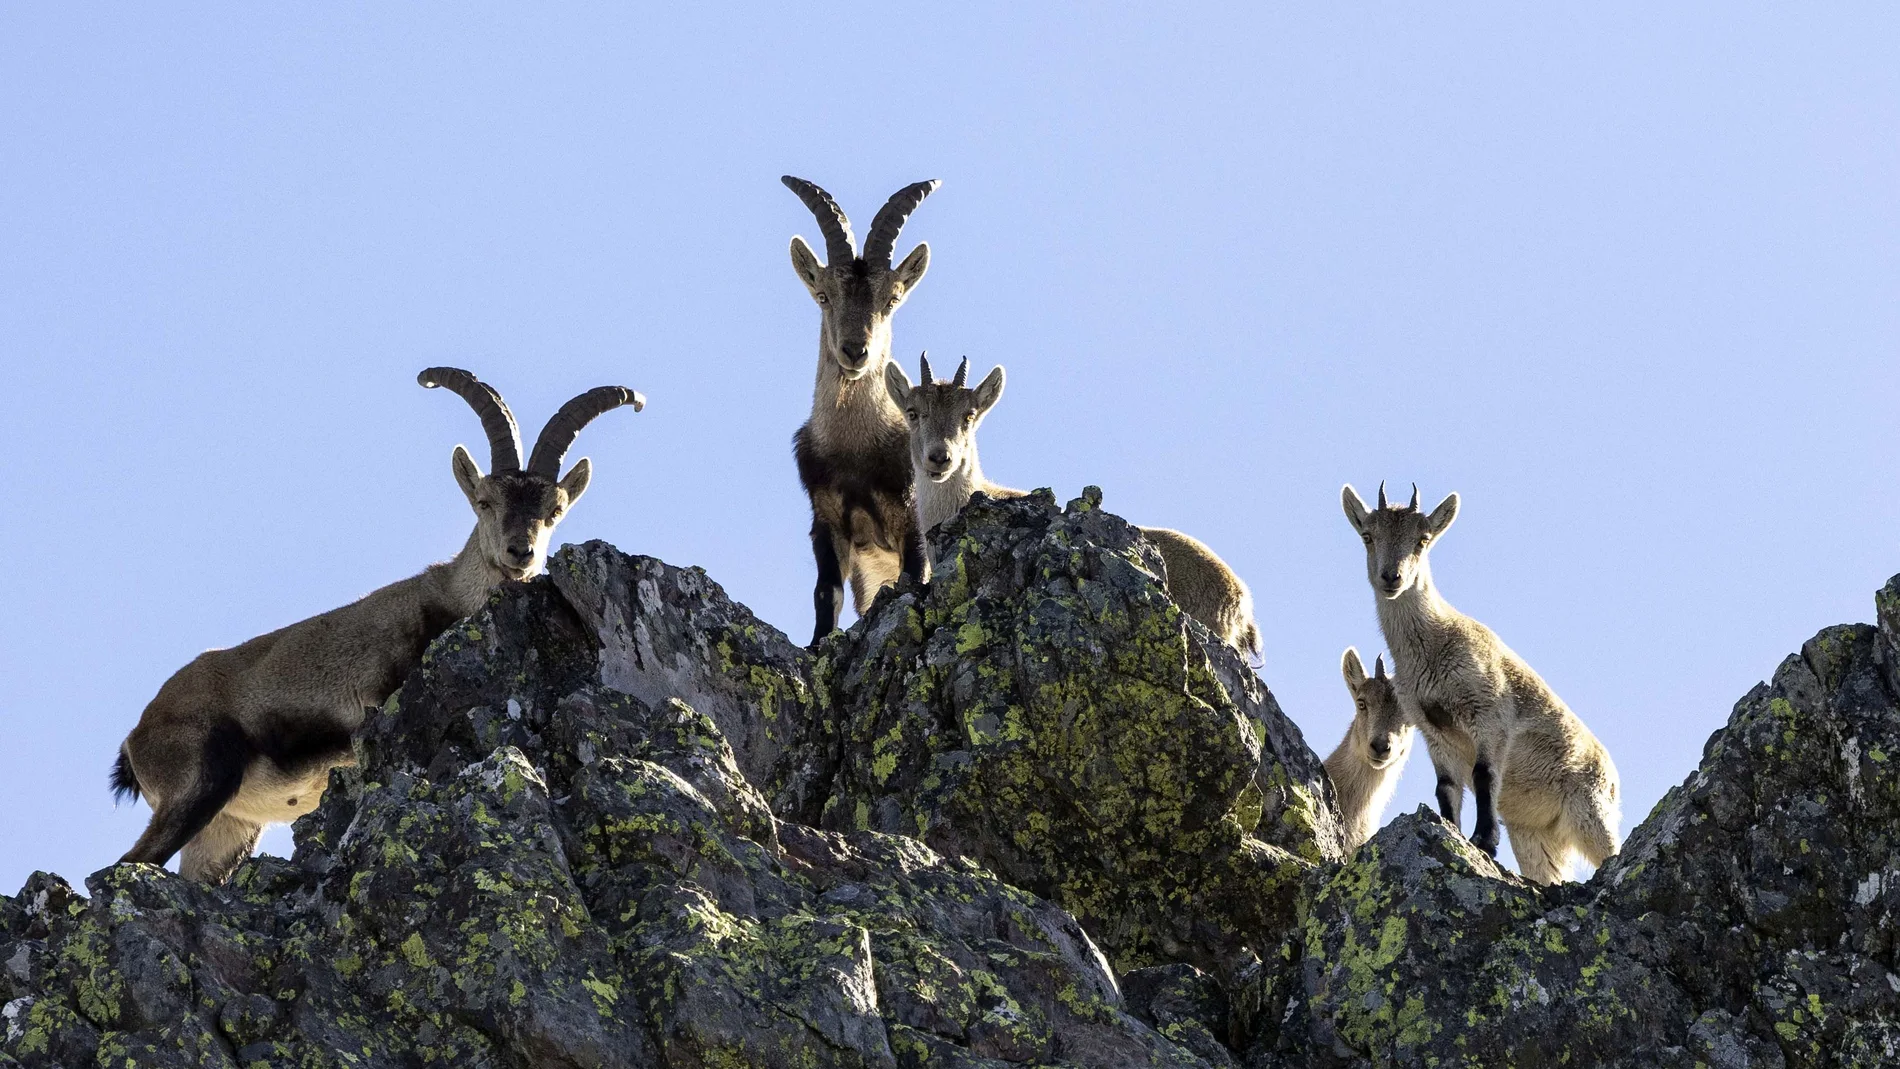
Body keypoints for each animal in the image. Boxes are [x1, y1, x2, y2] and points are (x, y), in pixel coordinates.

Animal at [110, 368, 642, 883]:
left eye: (554, 511)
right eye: (485, 501)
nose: (520, 552)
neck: (449, 597)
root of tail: (137, 736)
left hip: (228, 827)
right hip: (200, 781)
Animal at [783, 176, 939, 645]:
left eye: (891, 299)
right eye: (823, 296)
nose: (856, 352)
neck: (855, 449)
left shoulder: (911, 517)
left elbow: (914, 577)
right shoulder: (827, 522)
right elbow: (825, 594)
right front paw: (818, 645)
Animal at [1342, 482, 1620, 884]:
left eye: (1423, 539)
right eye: (1368, 535)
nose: (1392, 577)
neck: (1434, 644)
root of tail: (1612, 776)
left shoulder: (1489, 713)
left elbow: (1484, 774)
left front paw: (1483, 840)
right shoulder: (1435, 732)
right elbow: (1446, 789)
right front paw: (1451, 830)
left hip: (1590, 811)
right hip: (1537, 836)